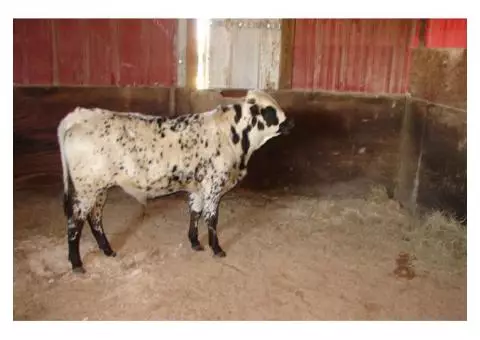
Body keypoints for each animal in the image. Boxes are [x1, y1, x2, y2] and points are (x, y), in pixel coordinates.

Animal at [58, 89, 294, 272]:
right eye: (270, 110)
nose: (290, 123)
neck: (233, 137)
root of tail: (82, 114)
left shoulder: (198, 188)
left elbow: (195, 213)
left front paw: (195, 242)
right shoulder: (213, 186)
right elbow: (212, 219)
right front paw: (216, 249)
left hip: (99, 189)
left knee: (95, 219)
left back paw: (107, 250)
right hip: (86, 189)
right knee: (74, 222)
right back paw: (77, 264)